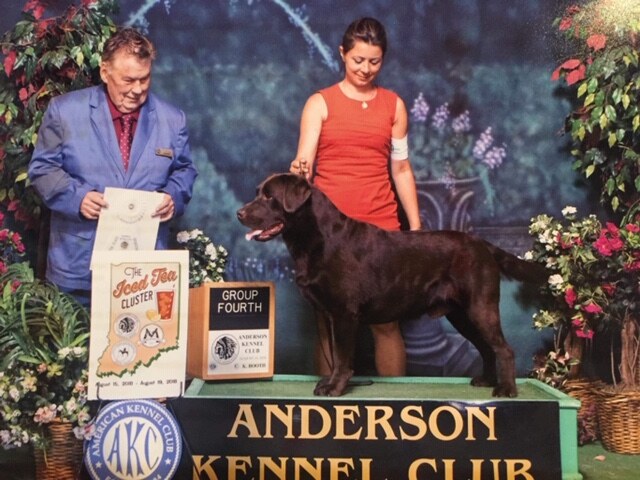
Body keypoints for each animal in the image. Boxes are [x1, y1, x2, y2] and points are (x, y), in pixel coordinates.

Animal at [237, 173, 547, 398]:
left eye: (269, 196)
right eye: (257, 192)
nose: (240, 213)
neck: (315, 239)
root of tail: (482, 244)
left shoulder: (344, 313)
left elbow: (342, 356)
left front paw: (334, 388)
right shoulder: (327, 313)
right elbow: (334, 355)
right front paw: (328, 383)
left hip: (480, 306)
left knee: (503, 348)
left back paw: (506, 389)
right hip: (460, 314)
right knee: (486, 347)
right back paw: (486, 380)